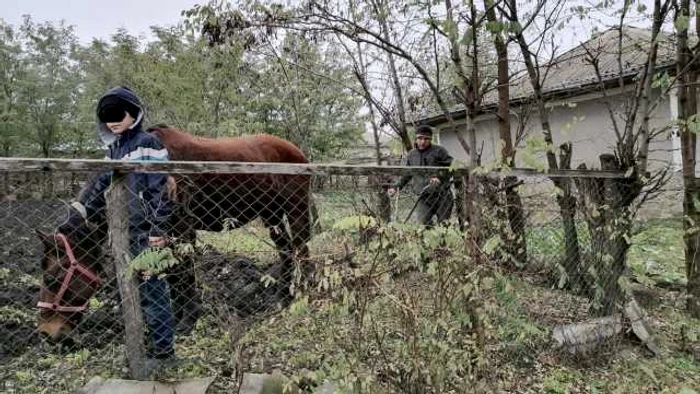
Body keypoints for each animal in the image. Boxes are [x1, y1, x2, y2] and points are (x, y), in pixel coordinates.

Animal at [34, 125, 314, 342]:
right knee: (286, 251)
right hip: (272, 215)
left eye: (52, 278)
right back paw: (282, 297)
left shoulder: (182, 231)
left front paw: (188, 322)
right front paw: (179, 318)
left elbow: (184, 276)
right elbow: (172, 277)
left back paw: (303, 292)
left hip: (295, 210)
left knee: (301, 248)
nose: (47, 333)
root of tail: (298, 153)